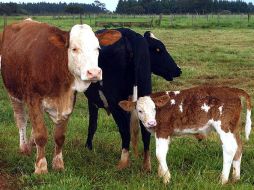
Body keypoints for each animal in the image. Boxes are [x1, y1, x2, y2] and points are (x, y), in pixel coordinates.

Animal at [0, 19, 122, 174]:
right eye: (74, 49)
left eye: (98, 49)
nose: (94, 73)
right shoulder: (33, 99)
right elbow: (41, 134)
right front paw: (41, 167)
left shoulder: (68, 101)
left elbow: (59, 136)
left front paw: (58, 164)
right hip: (13, 93)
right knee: (21, 120)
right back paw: (24, 147)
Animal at [84, 28, 180, 171]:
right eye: (158, 49)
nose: (178, 70)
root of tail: (130, 34)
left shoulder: (94, 100)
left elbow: (92, 124)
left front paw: (88, 148)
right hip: (145, 91)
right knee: (145, 131)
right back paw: (146, 165)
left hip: (116, 102)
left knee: (125, 130)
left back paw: (123, 163)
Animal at [119, 86, 252, 184]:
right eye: (140, 110)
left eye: (154, 109)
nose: (151, 122)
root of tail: (231, 89)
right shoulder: (166, 134)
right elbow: (162, 153)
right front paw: (161, 175)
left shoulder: (163, 131)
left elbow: (159, 154)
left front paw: (167, 178)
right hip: (234, 128)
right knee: (239, 148)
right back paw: (236, 178)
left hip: (224, 126)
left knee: (230, 149)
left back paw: (223, 180)